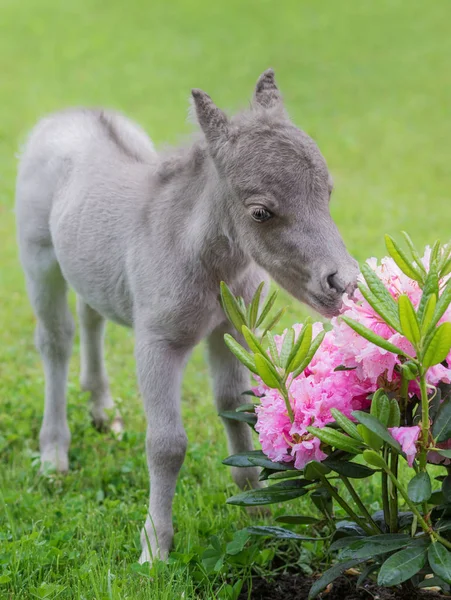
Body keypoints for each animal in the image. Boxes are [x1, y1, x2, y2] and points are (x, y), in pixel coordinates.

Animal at [15, 70, 360, 564]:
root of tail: (67, 114)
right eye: (261, 212)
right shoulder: (157, 342)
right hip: (39, 258)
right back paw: (54, 455)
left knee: (91, 314)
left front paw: (257, 510)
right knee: (55, 340)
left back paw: (102, 410)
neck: (204, 259)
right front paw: (155, 547)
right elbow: (166, 445)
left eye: (327, 193)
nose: (343, 282)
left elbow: (235, 408)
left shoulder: (232, 329)